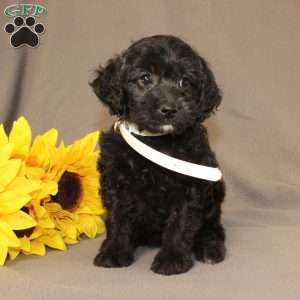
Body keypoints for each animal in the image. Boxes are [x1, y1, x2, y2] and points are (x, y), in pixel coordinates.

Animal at [90, 34, 226, 274]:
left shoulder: (191, 184)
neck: (156, 140)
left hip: (216, 190)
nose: (169, 110)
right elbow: (117, 217)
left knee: (213, 226)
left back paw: (210, 247)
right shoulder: (116, 179)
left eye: (185, 82)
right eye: (145, 78)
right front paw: (114, 251)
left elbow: (180, 222)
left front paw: (172, 258)